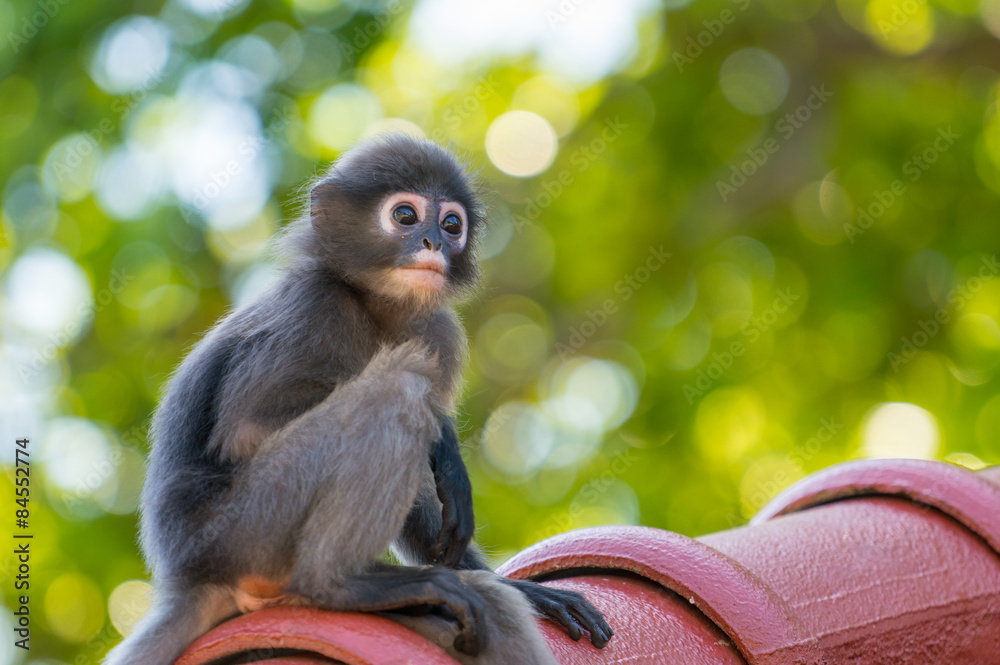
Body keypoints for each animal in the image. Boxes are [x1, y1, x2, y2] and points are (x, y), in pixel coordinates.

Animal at [104, 134, 612, 665]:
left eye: (452, 224)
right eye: (405, 216)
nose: (433, 243)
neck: (374, 307)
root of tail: (189, 575)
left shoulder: (438, 334)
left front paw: (527, 589)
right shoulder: (311, 308)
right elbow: (246, 430)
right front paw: (446, 445)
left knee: (493, 608)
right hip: (246, 529)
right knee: (398, 391)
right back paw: (336, 585)